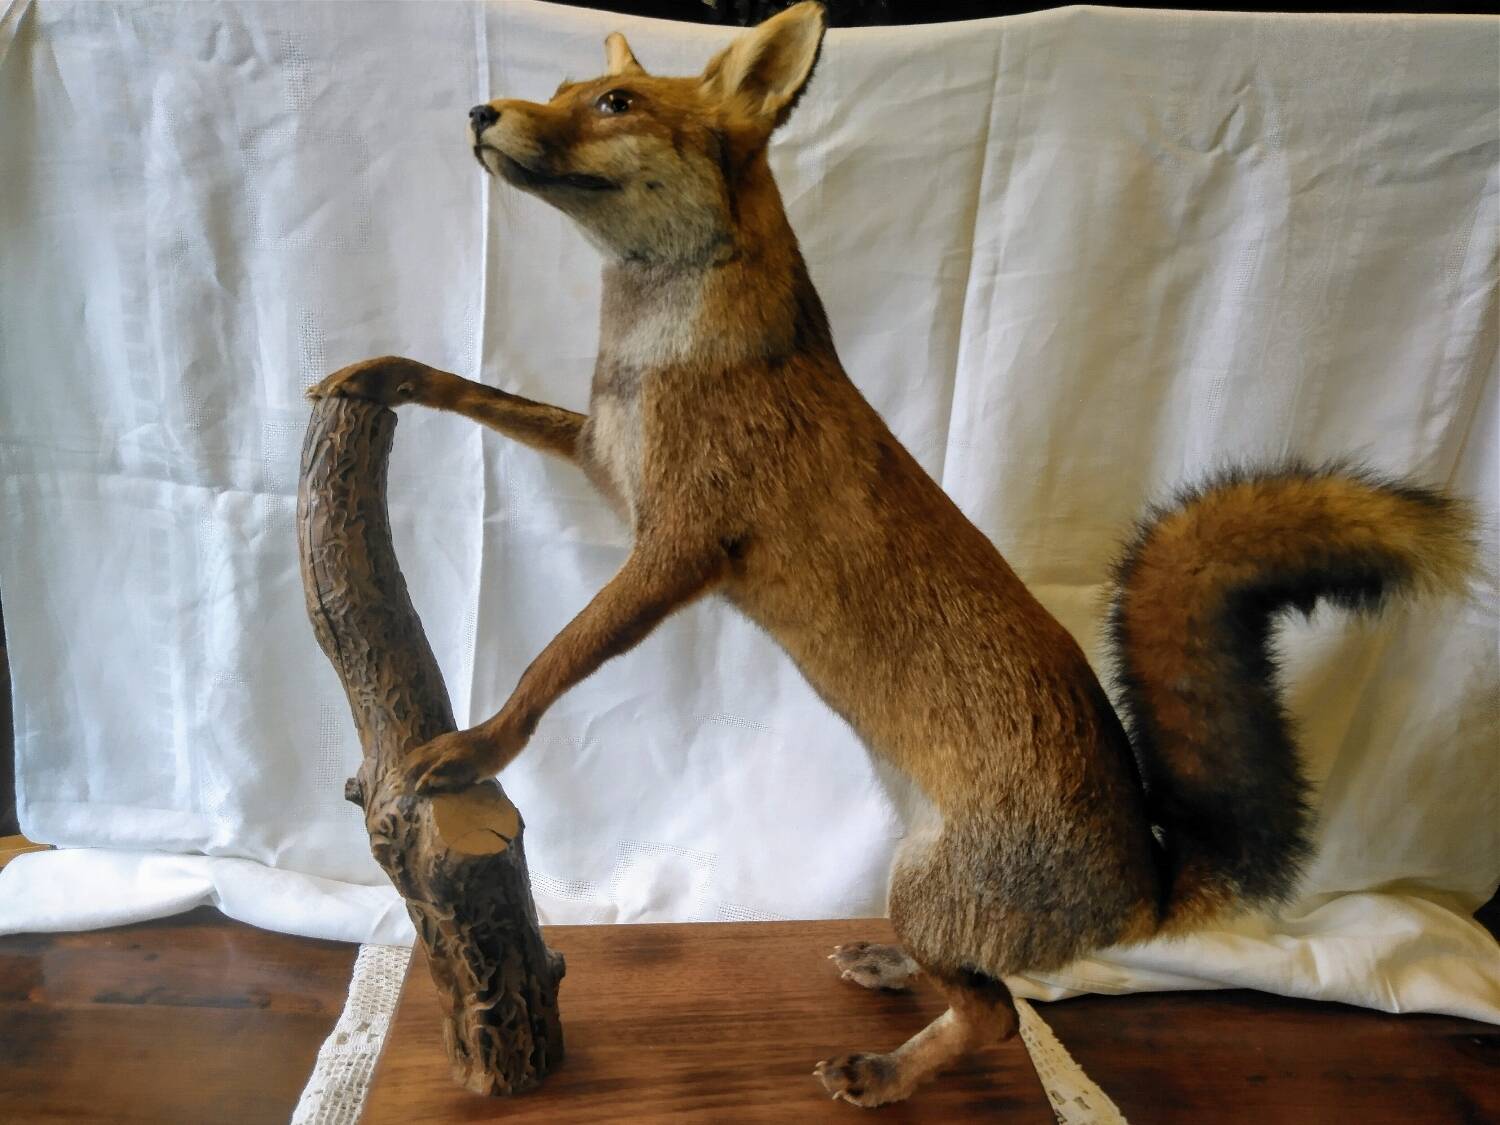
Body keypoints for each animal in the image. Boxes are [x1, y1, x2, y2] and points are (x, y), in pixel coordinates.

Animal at [308, 2, 1477, 1107]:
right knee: (981, 977)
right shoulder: (602, 455)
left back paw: (884, 1073)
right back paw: (889, 972)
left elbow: (553, 660)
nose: (481, 112)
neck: (666, 354)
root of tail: (1147, 879)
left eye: (614, 104)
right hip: (915, 882)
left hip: (924, 884)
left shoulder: (676, 549)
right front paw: (380, 373)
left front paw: (473, 748)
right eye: (560, 90)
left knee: (998, 1014)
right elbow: (472, 390)